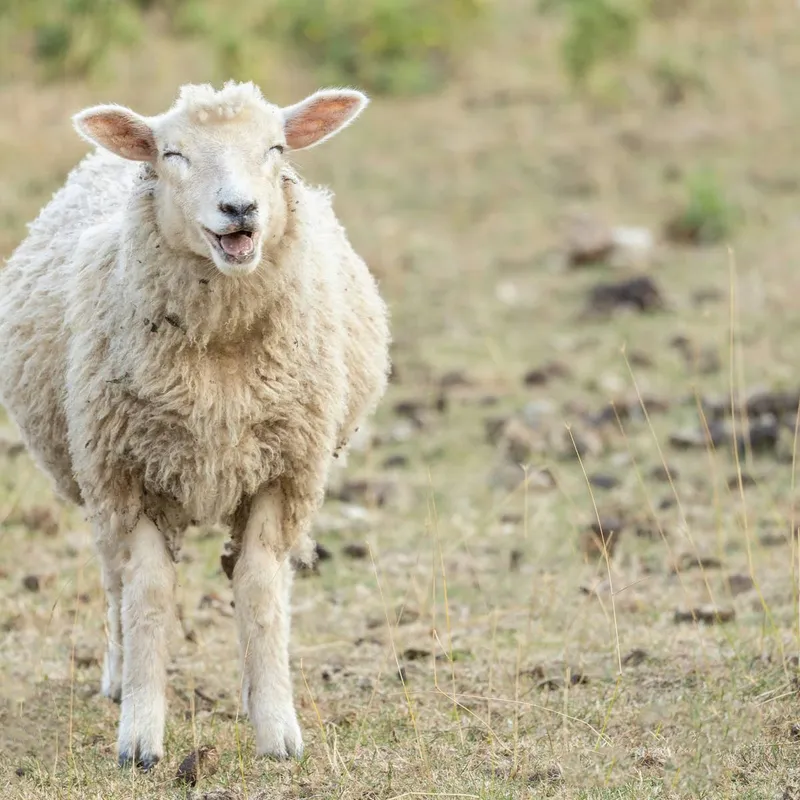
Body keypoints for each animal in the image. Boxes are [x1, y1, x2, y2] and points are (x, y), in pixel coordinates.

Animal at [0, 80, 390, 769]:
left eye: (276, 148)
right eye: (173, 154)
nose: (240, 209)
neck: (220, 361)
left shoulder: (283, 471)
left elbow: (260, 591)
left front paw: (277, 728)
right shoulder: (127, 473)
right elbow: (149, 595)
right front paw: (140, 736)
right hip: (93, 476)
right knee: (114, 581)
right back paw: (118, 678)